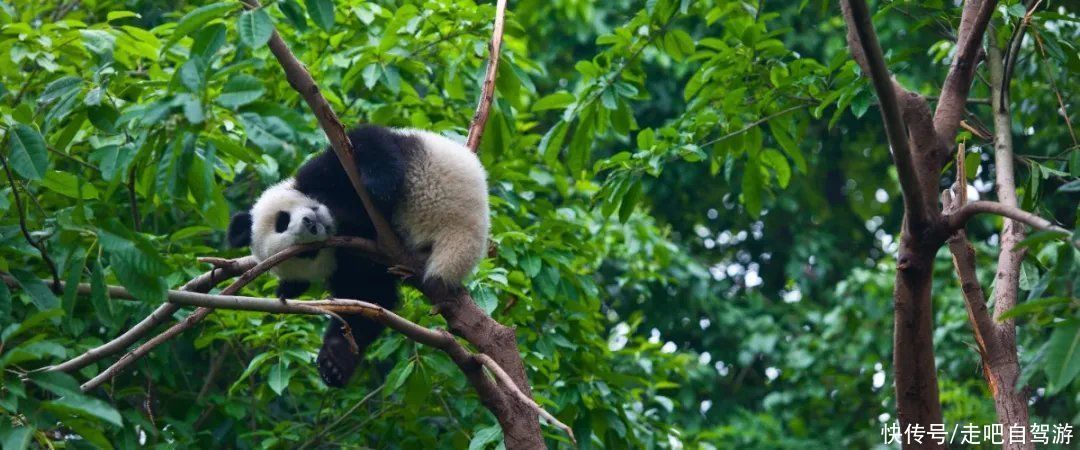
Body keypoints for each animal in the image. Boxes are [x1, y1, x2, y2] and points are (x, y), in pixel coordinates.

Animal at [227, 125, 490, 386]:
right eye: (307, 253)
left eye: (281, 221)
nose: (311, 224)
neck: (339, 218)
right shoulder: (352, 262)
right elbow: (367, 298)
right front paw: (334, 362)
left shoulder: (323, 173)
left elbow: (364, 142)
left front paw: (379, 186)